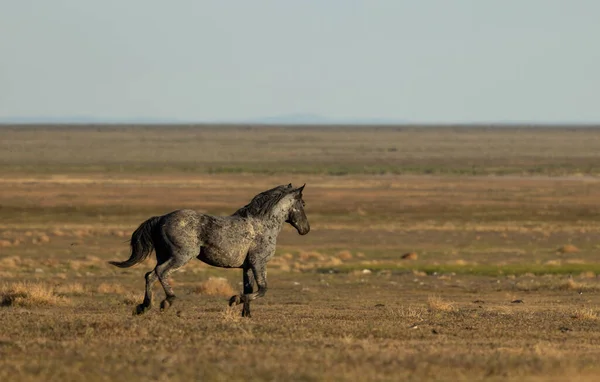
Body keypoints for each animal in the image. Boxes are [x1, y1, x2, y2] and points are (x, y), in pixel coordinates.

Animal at [107, 182, 310, 316]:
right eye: (303, 204)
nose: (306, 229)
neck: (263, 225)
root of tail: (161, 219)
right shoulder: (258, 263)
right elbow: (262, 289)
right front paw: (234, 300)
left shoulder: (247, 267)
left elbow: (248, 288)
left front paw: (245, 314)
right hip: (181, 256)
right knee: (160, 272)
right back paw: (167, 301)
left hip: (164, 255)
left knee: (150, 275)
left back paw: (144, 306)